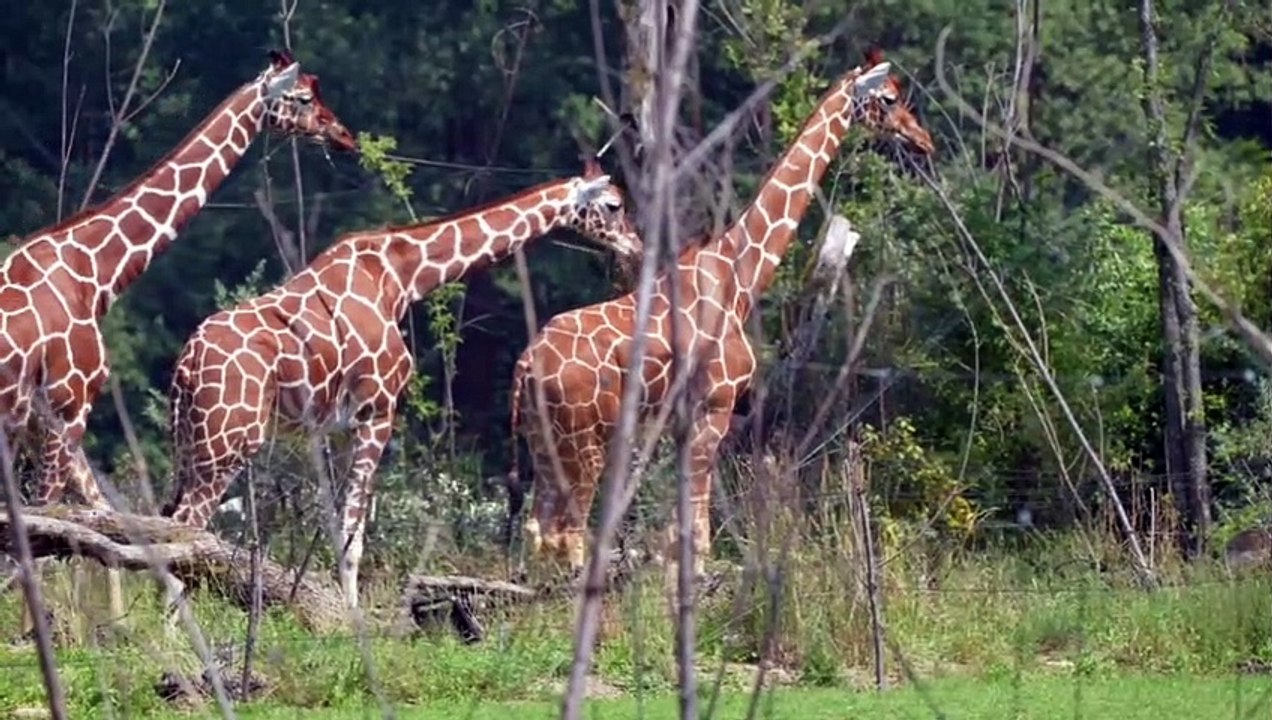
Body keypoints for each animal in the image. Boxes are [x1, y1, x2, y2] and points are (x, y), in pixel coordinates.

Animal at [0, 48, 357, 631]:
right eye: (304, 97)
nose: (343, 134)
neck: (95, 274)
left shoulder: (36, 421)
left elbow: (86, 516)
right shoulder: (65, 406)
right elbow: (50, 526)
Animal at [159, 156, 643, 610]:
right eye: (614, 205)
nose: (635, 247)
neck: (401, 278)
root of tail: (188, 361)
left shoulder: (336, 428)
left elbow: (337, 524)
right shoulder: (378, 410)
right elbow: (353, 533)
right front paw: (351, 617)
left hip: (189, 440)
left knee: (166, 518)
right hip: (229, 440)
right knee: (185, 524)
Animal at [508, 48, 935, 584]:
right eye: (890, 97)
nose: (923, 141)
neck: (740, 273)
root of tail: (526, 365)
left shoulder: (683, 420)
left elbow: (677, 533)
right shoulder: (715, 407)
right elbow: (696, 532)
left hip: (544, 442)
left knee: (539, 532)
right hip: (581, 440)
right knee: (567, 532)